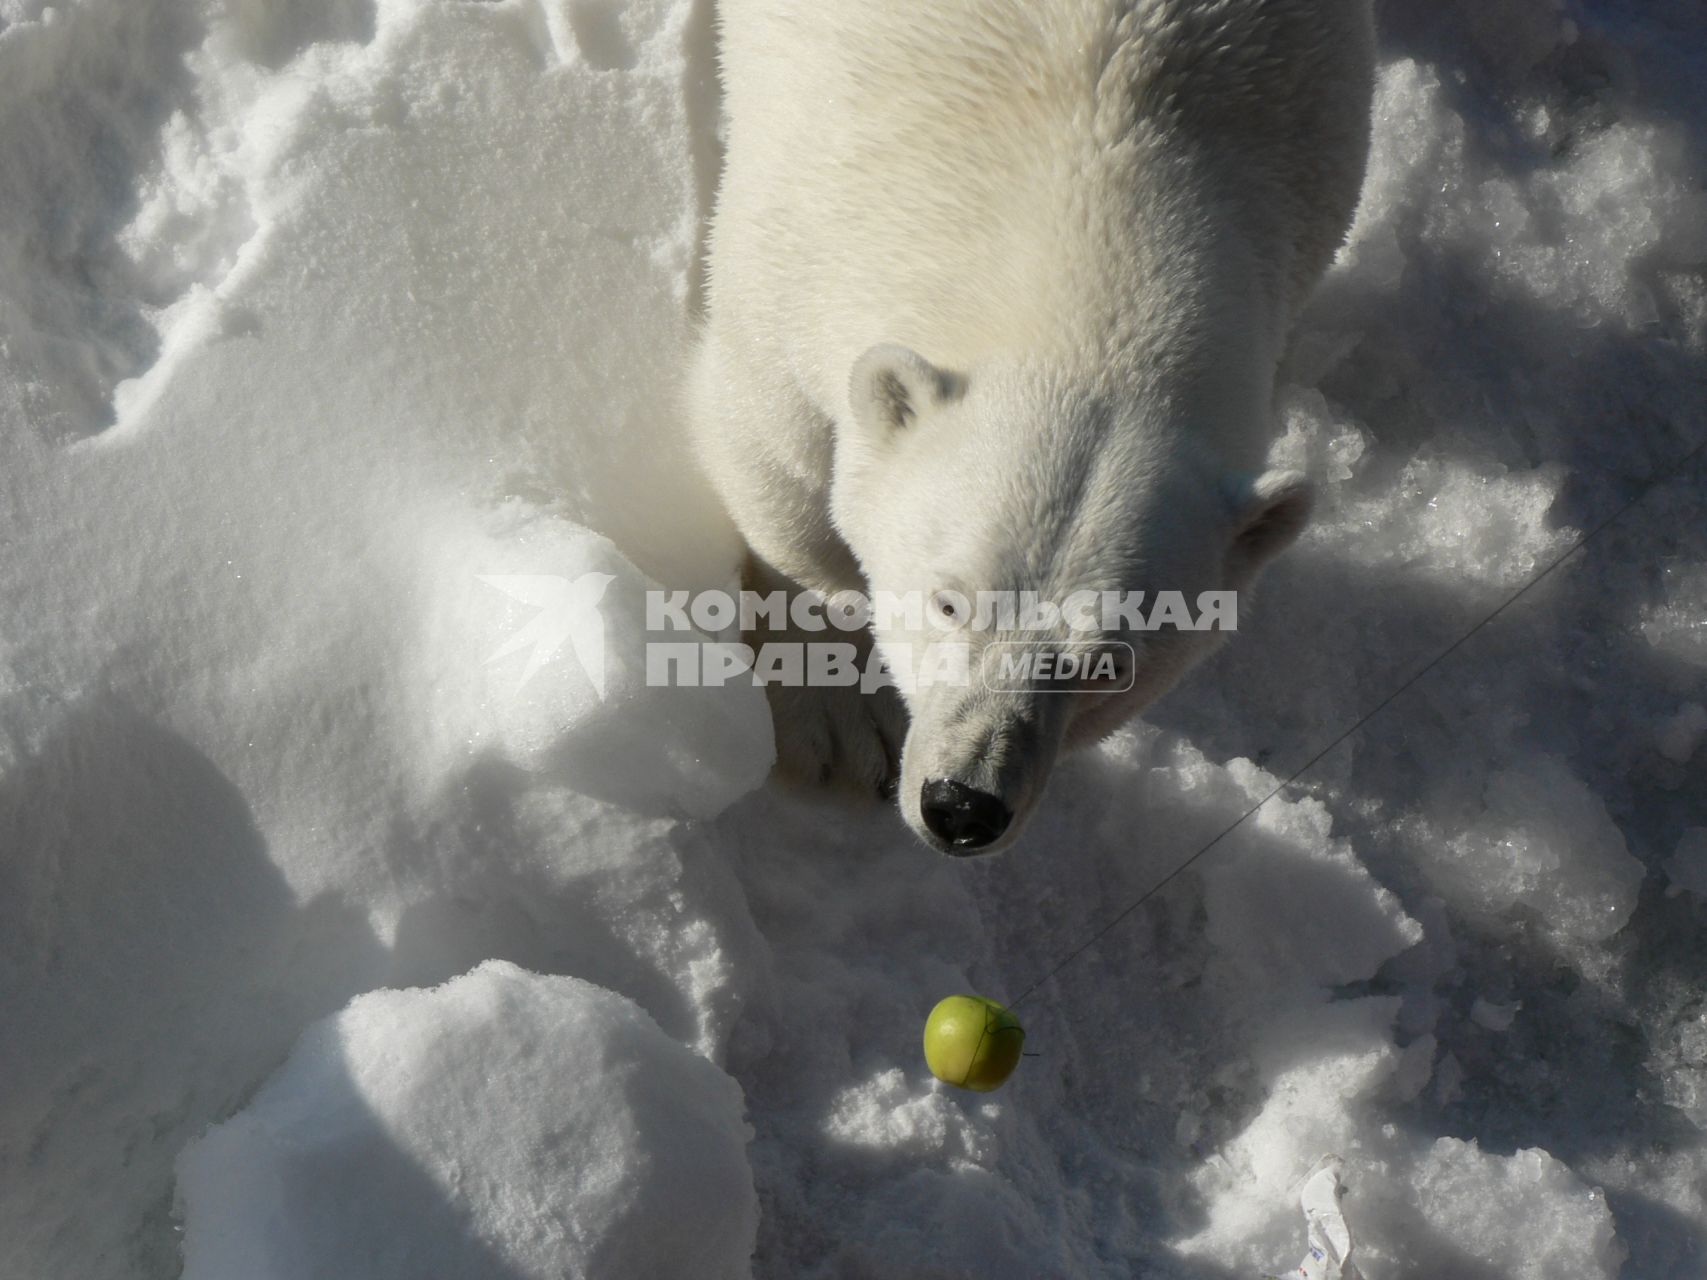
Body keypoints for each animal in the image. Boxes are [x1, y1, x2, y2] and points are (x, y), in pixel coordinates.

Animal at [689, 5, 1372, 856]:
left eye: (1111, 663)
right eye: (949, 602)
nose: (963, 805)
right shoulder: (795, 251)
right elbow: (778, 456)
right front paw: (839, 720)